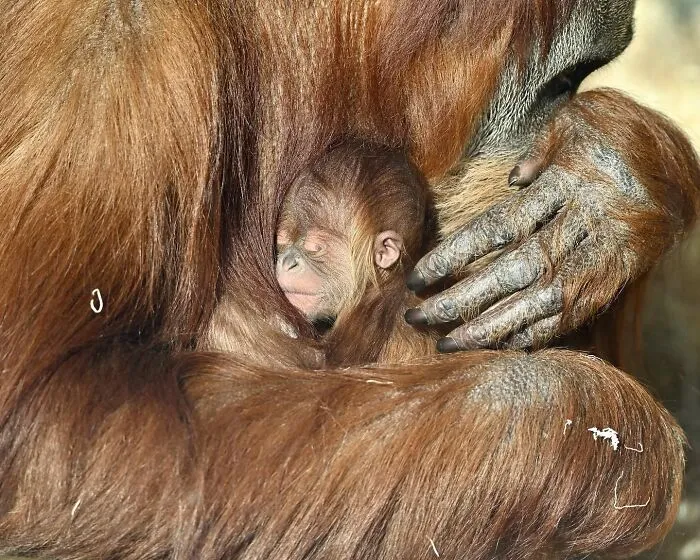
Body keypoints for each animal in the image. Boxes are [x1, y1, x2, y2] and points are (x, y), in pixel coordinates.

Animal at [1, 1, 699, 559]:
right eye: (561, 80)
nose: (564, 107)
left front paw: (605, 177)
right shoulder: (108, 50)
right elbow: (51, 432)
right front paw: (600, 422)